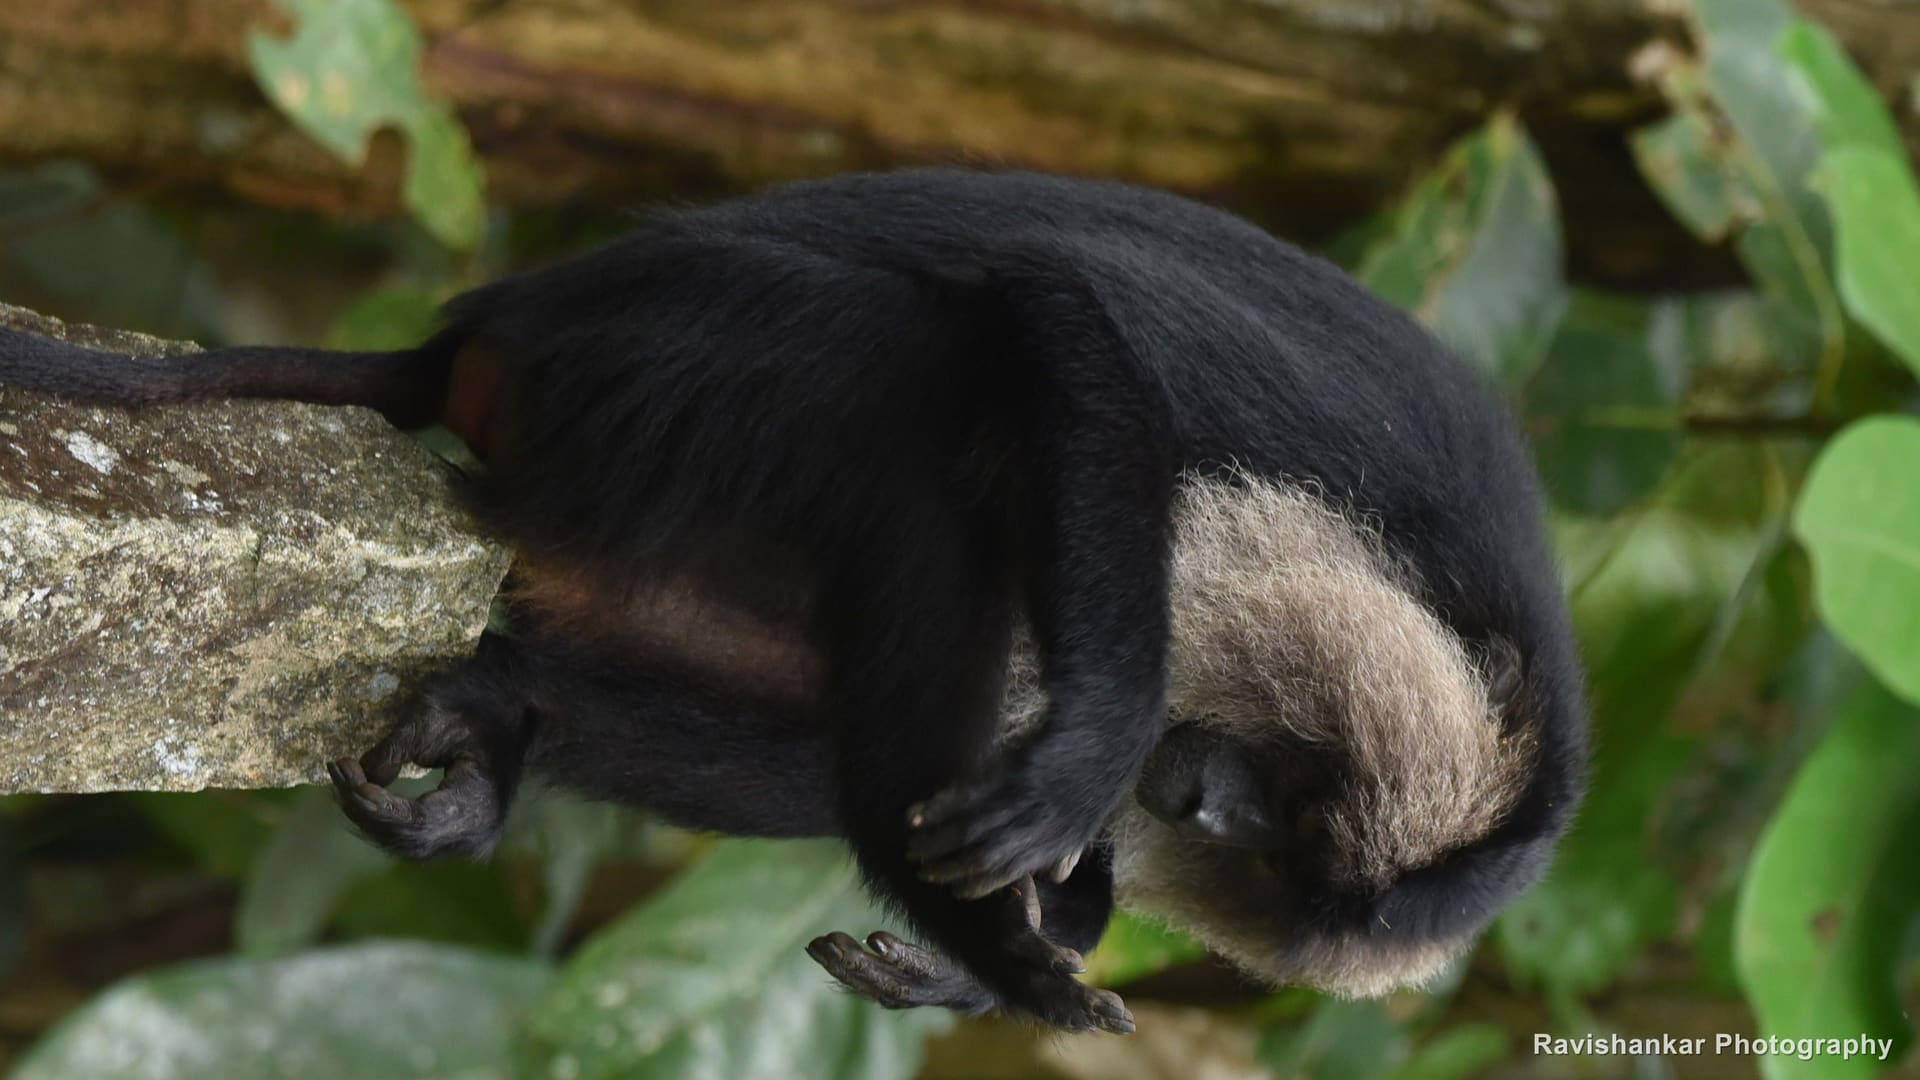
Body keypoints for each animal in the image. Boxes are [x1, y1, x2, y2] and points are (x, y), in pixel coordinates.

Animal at [0, 168, 1587, 1033]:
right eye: (1284, 816)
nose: (1195, 802)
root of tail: (486, 332)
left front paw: (1035, 921)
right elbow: (1051, 316)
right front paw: (1078, 786)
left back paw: (502, 720)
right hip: (669, 362)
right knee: (932, 386)